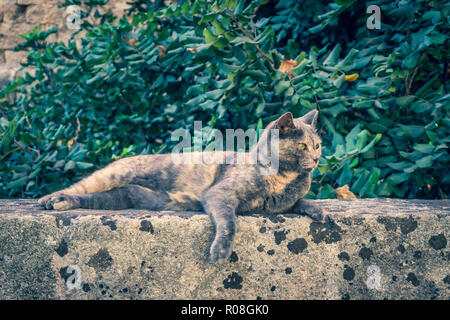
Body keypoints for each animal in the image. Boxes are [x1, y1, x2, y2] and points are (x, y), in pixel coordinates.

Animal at [39, 110, 324, 262]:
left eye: (318, 145)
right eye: (302, 146)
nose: (317, 158)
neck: (281, 179)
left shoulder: (282, 201)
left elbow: (299, 200)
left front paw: (318, 211)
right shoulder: (220, 194)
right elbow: (229, 222)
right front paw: (220, 252)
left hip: (123, 197)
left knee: (98, 198)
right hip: (117, 174)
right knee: (82, 186)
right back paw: (52, 200)